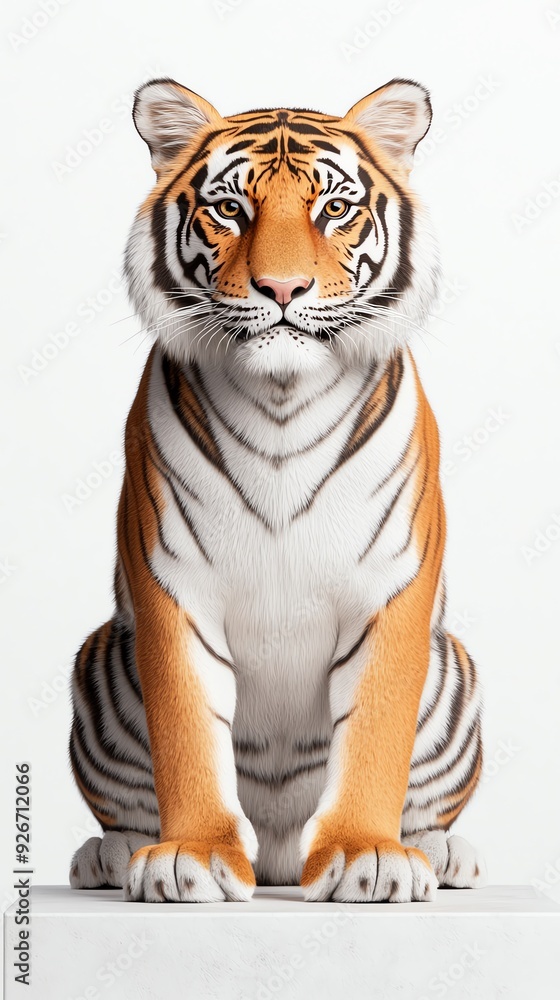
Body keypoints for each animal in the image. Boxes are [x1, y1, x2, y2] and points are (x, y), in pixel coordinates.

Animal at [68, 77, 486, 903]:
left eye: (335, 208)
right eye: (231, 208)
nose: (283, 287)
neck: (282, 398)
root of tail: (282, 861)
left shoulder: (392, 586)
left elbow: (377, 731)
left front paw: (368, 856)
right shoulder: (172, 584)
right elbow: (186, 727)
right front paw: (190, 856)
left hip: (457, 668)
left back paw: (440, 853)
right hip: (97, 655)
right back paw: (112, 855)